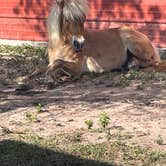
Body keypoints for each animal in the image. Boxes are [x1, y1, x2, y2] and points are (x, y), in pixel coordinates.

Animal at [16, 0, 165, 90]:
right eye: (67, 19)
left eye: (83, 19)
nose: (80, 43)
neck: (62, 45)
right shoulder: (53, 64)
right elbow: (41, 69)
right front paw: (23, 80)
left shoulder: (76, 68)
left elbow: (57, 63)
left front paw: (49, 80)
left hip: (131, 42)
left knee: (153, 63)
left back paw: (131, 67)